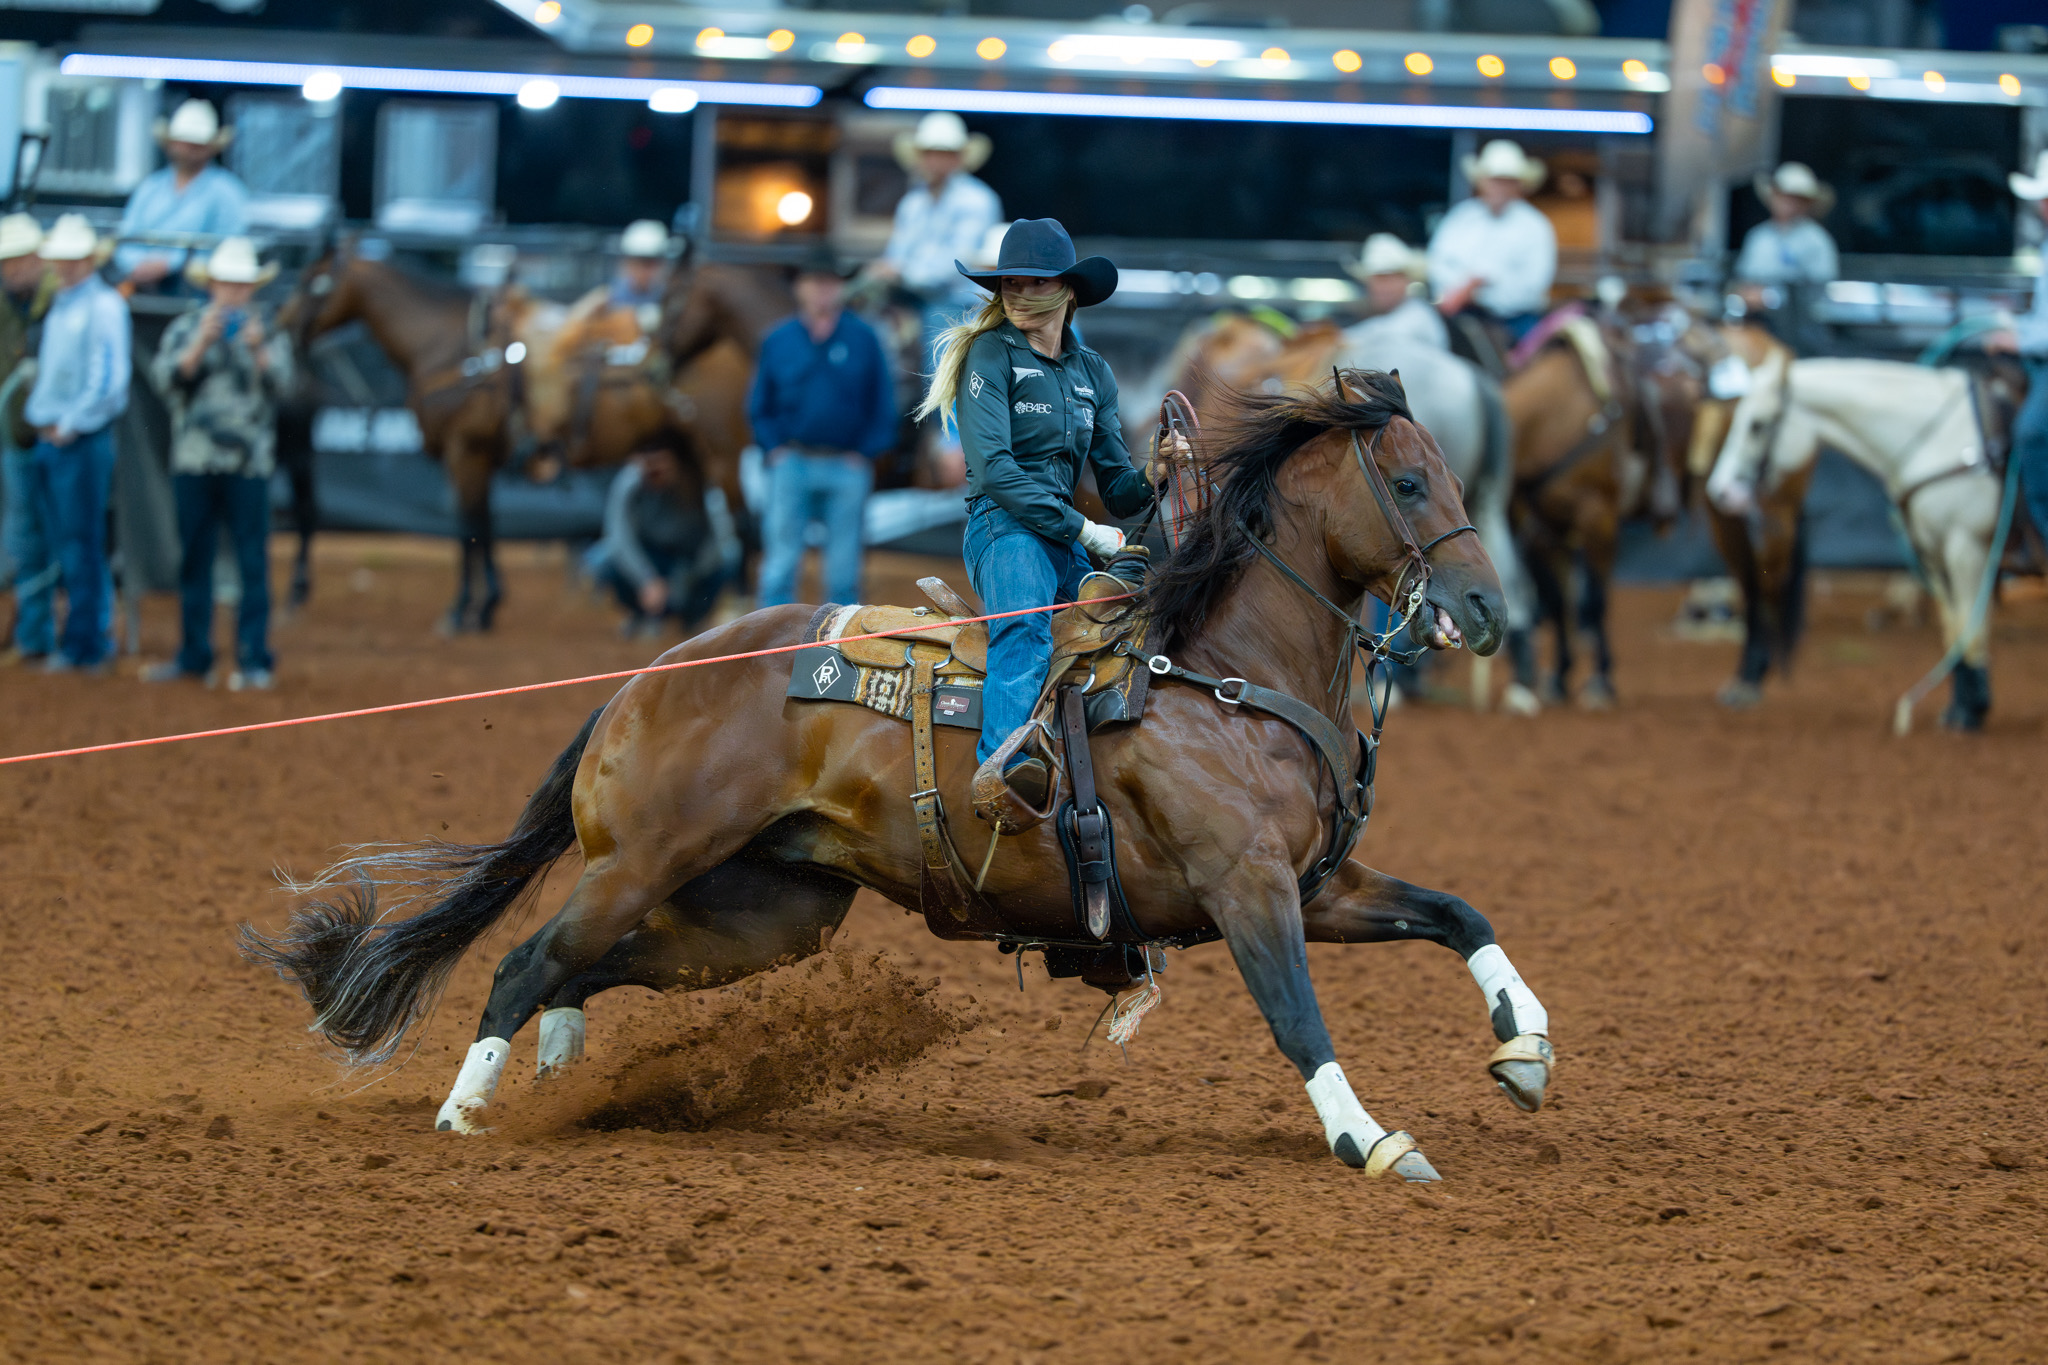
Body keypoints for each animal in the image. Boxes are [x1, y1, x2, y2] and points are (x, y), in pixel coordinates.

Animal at [241, 371, 1556, 1182]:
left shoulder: (1317, 885)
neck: (1219, 672)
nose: (1489, 610)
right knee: (526, 958)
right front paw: (1371, 1141)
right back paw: (464, 1109)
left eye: (1453, 474)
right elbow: (1297, 1020)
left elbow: (1457, 912)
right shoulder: (1247, 891)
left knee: (587, 966)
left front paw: (1524, 1048)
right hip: (645, 864)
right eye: (1406, 483)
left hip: (763, 914)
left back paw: (559, 1057)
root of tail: (645, 679)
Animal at [1706, 356, 2006, 730]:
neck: (1939, 440)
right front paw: (1961, 707)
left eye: (1757, 425)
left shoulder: (1966, 547)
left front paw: (1971, 711)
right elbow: (1954, 627)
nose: (1719, 490)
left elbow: (1972, 626)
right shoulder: (1936, 553)